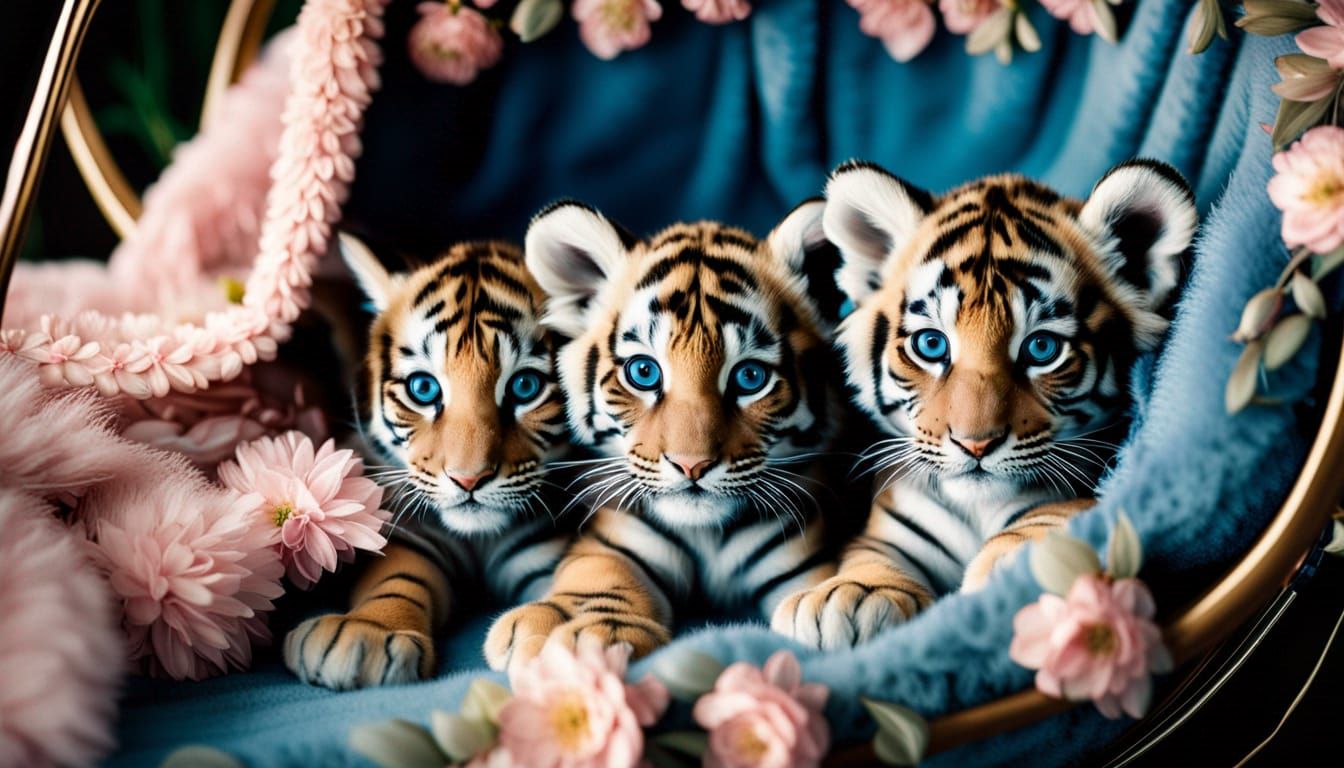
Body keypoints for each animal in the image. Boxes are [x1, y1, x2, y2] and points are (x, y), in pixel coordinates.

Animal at [283, 234, 572, 689]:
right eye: (423, 389)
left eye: (525, 386)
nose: (469, 479)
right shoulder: (412, 538)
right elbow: (396, 580)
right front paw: (364, 631)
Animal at [481, 200, 846, 670]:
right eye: (644, 372)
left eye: (750, 377)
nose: (692, 465)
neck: (706, 535)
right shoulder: (611, 544)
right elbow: (596, 577)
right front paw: (562, 629)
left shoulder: (806, 560)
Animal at [770, 159, 1197, 649]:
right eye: (931, 344)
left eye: (1042, 348)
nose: (975, 444)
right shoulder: (889, 532)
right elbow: (868, 558)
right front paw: (843, 597)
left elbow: (1054, 514)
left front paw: (1016, 565)